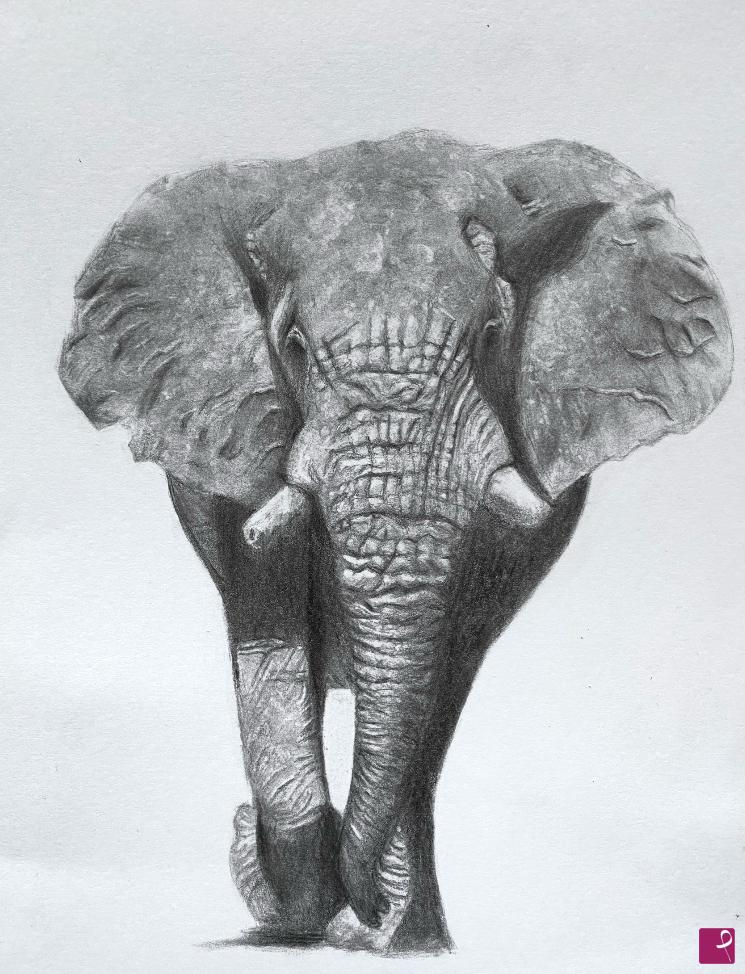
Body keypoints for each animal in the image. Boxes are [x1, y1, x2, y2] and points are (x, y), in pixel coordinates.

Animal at [58, 129, 733, 954]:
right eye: (291, 345)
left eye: (491, 335)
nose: (358, 918)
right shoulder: (233, 430)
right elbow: (268, 620)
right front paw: (314, 906)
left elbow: (442, 665)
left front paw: (383, 935)